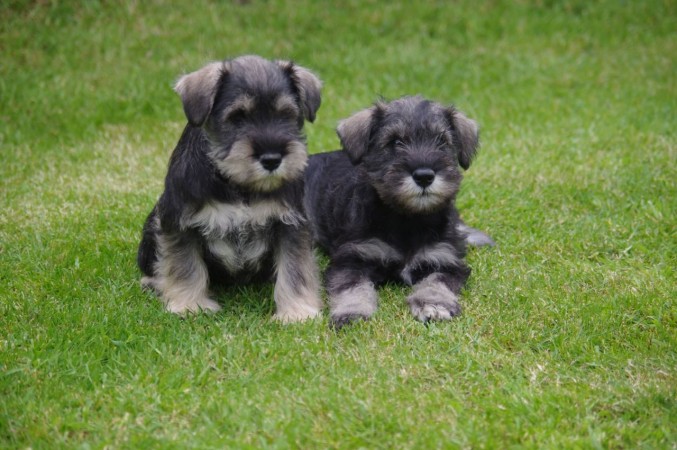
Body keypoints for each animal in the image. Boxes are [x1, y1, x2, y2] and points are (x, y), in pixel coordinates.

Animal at [137, 53, 322, 320]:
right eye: (237, 116)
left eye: (287, 114)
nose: (272, 159)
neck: (238, 184)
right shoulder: (180, 224)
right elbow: (185, 266)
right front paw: (189, 305)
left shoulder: (291, 225)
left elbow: (295, 270)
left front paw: (297, 312)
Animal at [304, 95, 488, 326]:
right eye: (395, 142)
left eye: (442, 141)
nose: (424, 176)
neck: (408, 220)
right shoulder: (353, 258)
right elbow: (352, 287)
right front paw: (352, 312)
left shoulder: (444, 259)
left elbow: (436, 282)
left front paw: (434, 305)